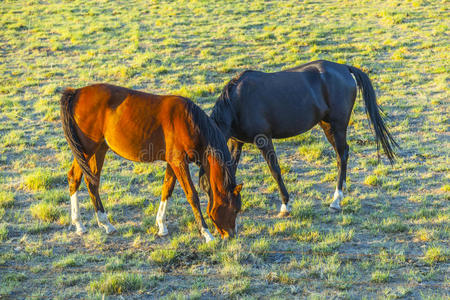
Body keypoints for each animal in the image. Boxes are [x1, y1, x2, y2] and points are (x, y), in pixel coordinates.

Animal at [61, 84, 243, 241]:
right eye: (235, 209)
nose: (231, 235)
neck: (189, 122)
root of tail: (76, 92)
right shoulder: (179, 163)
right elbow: (192, 195)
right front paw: (206, 234)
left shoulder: (173, 163)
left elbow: (166, 189)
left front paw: (162, 226)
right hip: (86, 150)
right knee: (76, 178)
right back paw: (81, 224)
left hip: (98, 150)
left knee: (90, 181)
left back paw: (103, 224)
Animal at [200, 59, 398, 214]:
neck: (237, 101)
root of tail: (344, 68)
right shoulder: (236, 142)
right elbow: (231, 169)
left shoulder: (263, 138)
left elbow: (275, 169)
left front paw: (285, 205)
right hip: (327, 125)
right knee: (342, 154)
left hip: (338, 126)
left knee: (342, 155)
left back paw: (336, 200)